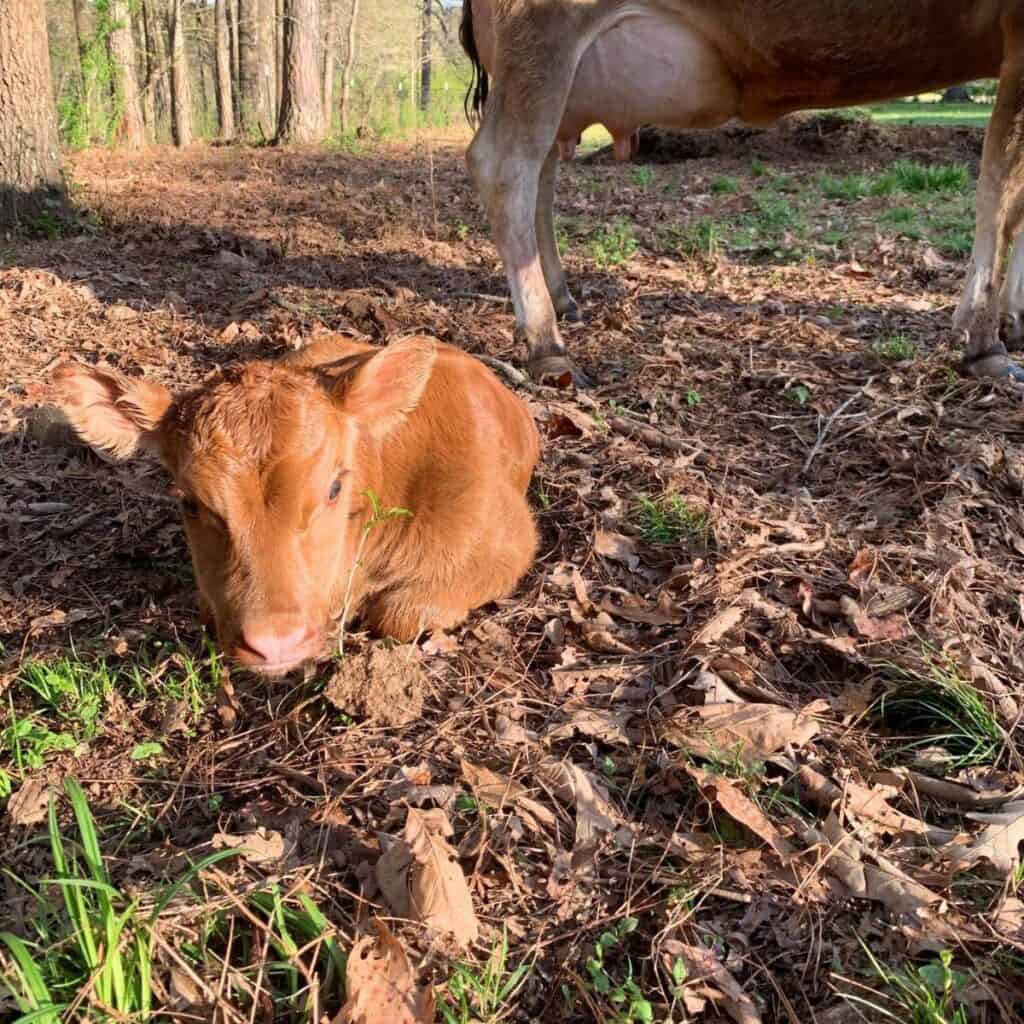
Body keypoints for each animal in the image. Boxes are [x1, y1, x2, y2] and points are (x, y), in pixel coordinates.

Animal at [460, 1, 1024, 385]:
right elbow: (1000, 196)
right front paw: (984, 343)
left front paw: (1012, 321)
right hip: (541, 33)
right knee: (506, 165)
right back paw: (547, 343)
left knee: (542, 173)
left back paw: (563, 299)